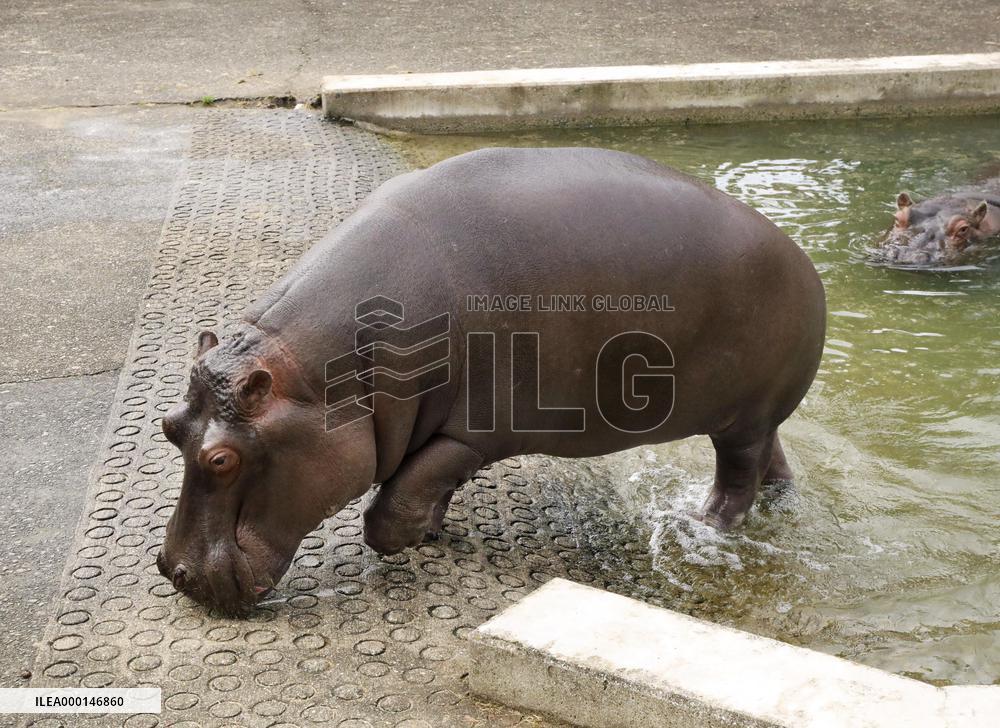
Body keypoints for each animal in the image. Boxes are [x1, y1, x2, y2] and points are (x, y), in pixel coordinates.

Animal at [156, 147, 826, 615]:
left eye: (220, 460)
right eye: (168, 425)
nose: (172, 571)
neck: (324, 379)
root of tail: (804, 258)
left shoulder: (474, 432)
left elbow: (403, 493)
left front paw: (405, 539)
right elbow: (423, 482)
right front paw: (430, 529)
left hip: (746, 417)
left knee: (737, 476)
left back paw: (706, 527)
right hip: (754, 415)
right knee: (772, 460)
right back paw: (780, 503)